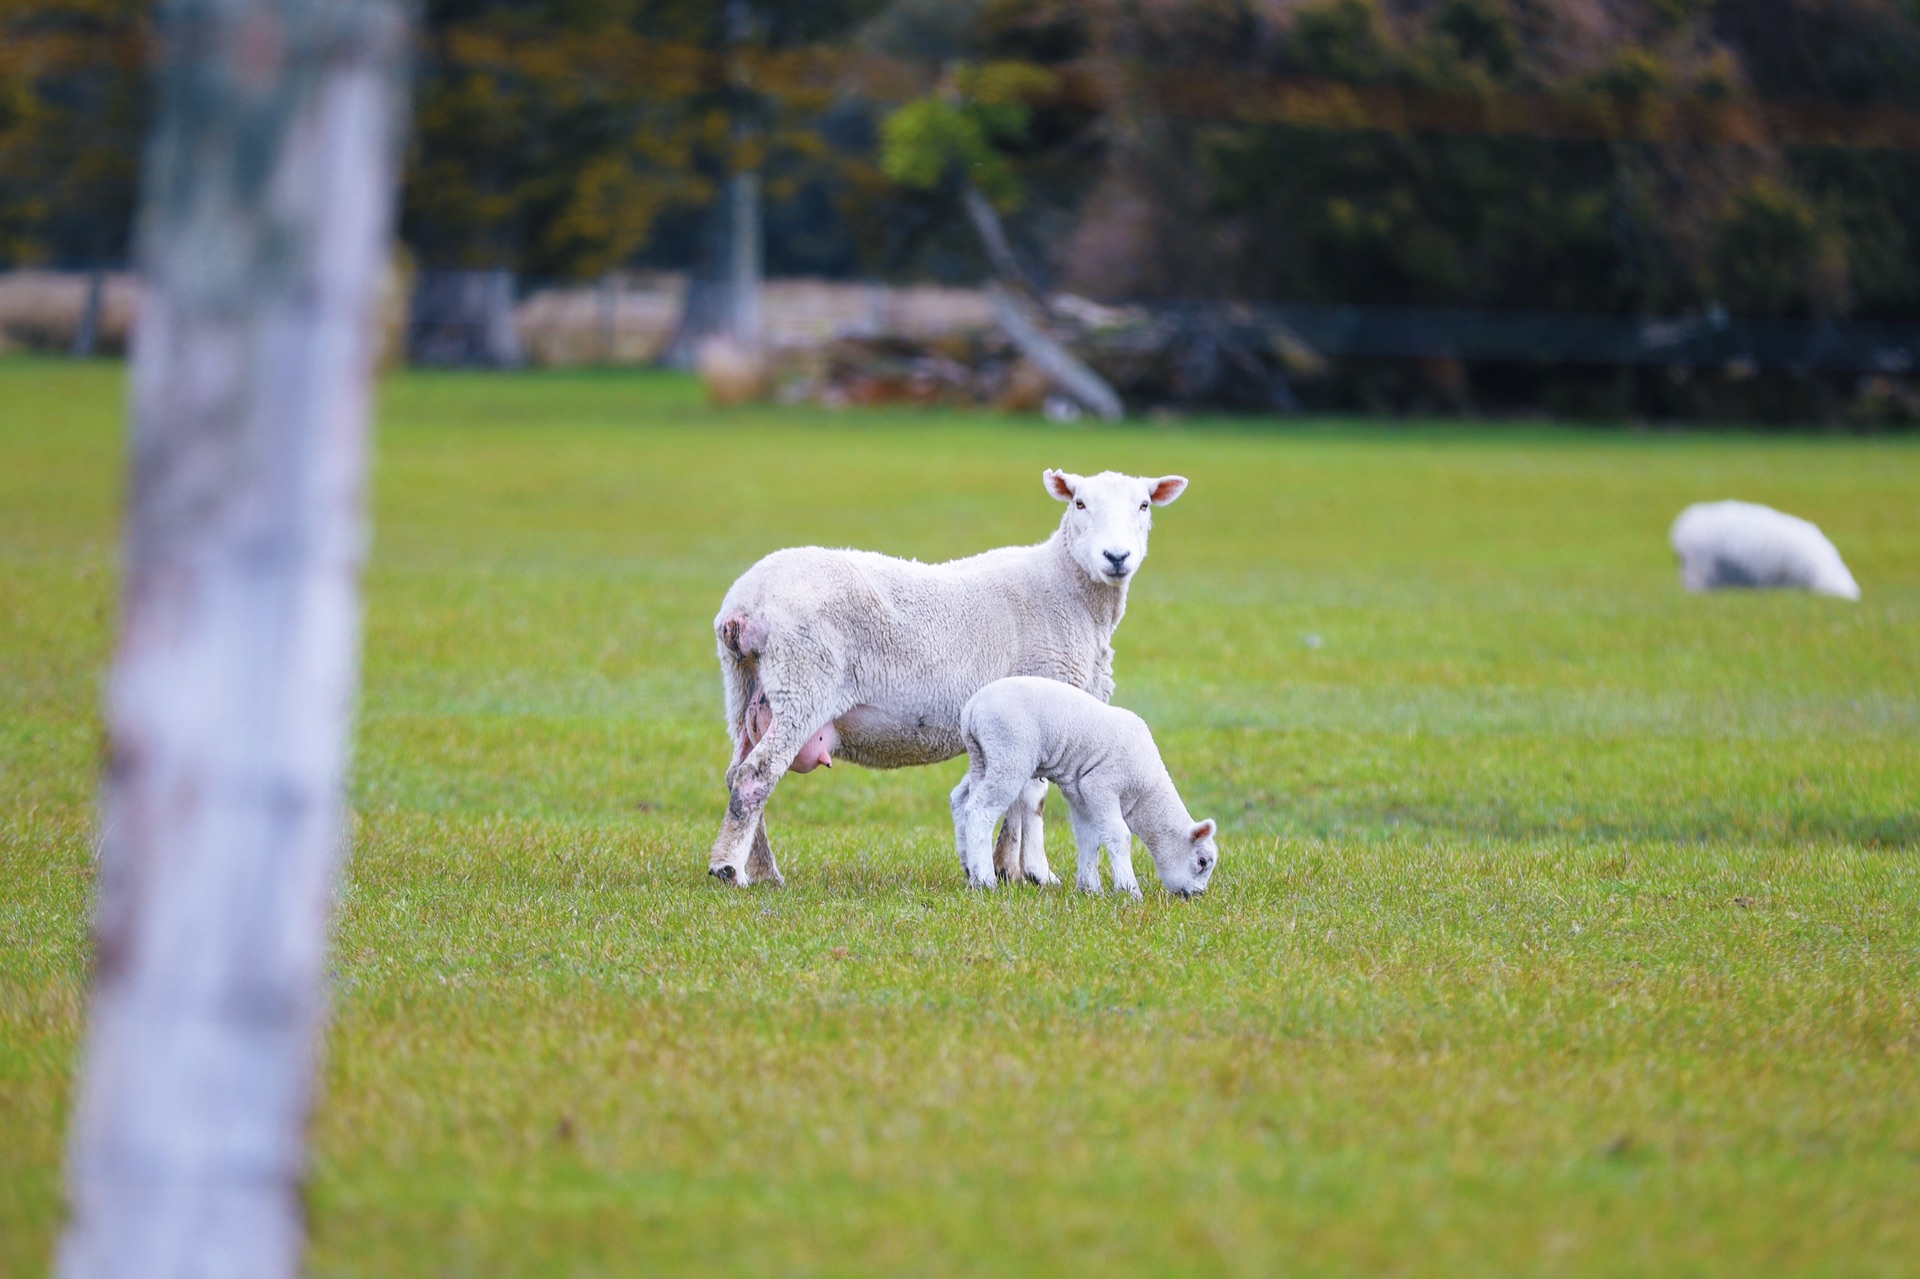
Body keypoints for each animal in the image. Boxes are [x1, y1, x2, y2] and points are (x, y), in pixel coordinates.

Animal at [706, 462, 1182, 883]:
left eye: (1144, 505)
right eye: (1079, 503)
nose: (1116, 557)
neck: (1065, 591)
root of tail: (744, 605)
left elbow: (1016, 800)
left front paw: (1006, 867)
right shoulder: (1044, 696)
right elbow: (1033, 797)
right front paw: (1037, 872)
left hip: (746, 689)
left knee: (737, 772)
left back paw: (763, 872)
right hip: (803, 681)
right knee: (756, 775)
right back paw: (730, 870)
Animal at [948, 675, 1213, 894]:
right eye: (1202, 862)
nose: (1196, 896)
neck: (1144, 792)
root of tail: (972, 709)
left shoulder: (1079, 794)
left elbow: (1090, 838)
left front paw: (1090, 889)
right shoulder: (1100, 784)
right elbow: (1119, 836)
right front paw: (1129, 890)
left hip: (982, 758)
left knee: (963, 801)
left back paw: (971, 869)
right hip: (1010, 756)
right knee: (980, 810)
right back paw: (985, 881)